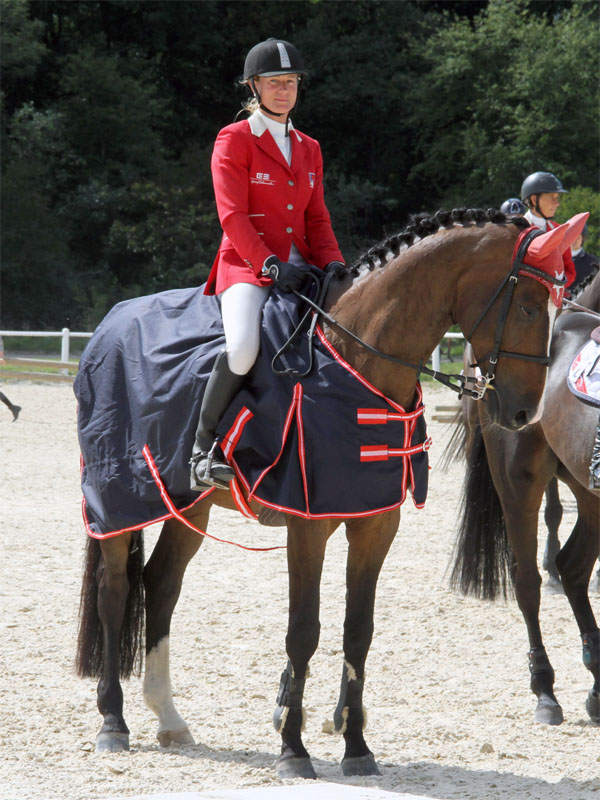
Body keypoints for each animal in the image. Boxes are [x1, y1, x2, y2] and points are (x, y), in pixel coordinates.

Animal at [75, 208, 570, 779]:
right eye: (530, 306)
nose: (525, 414)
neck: (356, 360)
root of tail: (109, 325)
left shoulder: (375, 523)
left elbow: (358, 630)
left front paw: (356, 748)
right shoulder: (307, 525)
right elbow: (303, 630)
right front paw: (293, 749)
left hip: (188, 508)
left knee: (161, 584)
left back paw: (169, 717)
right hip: (116, 500)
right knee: (115, 591)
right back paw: (113, 722)